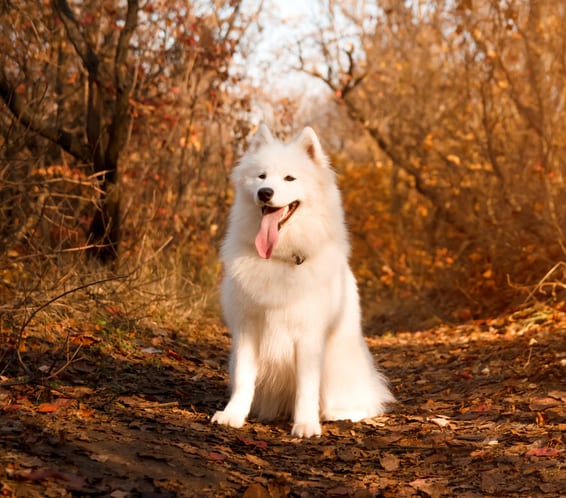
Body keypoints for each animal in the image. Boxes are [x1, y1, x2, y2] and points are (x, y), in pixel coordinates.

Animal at [213, 125, 394, 440]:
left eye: (289, 178)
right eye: (261, 176)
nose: (265, 193)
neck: (279, 258)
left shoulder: (308, 334)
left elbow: (306, 387)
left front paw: (306, 424)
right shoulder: (248, 330)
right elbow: (245, 379)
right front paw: (233, 415)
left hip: (337, 366)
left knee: (358, 404)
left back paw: (339, 413)